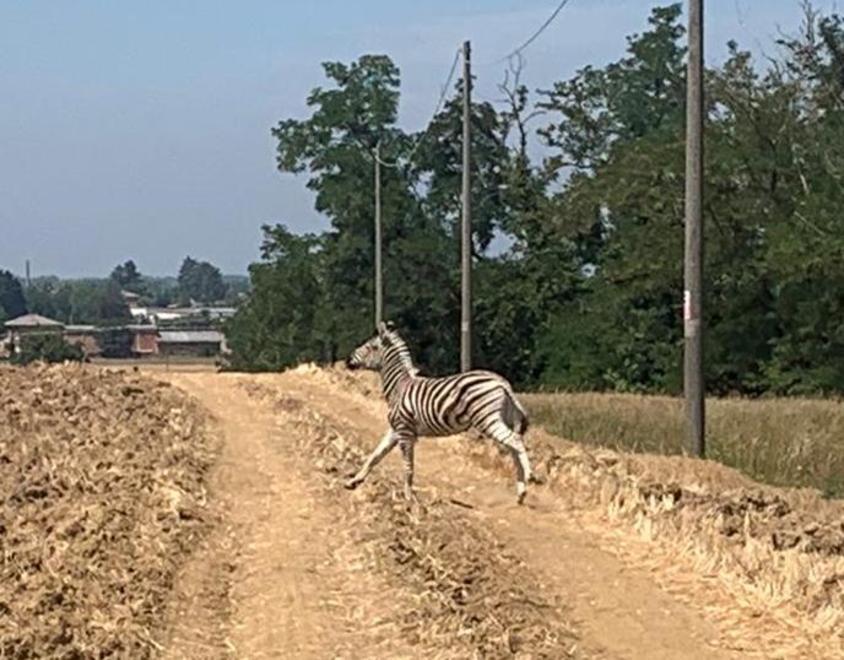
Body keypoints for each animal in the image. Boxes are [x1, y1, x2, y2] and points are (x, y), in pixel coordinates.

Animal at [344, 321, 534, 504]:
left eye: (370, 347)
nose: (347, 360)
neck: (399, 385)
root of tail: (502, 382)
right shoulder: (395, 429)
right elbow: (376, 455)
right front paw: (354, 481)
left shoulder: (405, 431)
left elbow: (408, 465)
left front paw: (408, 497)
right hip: (501, 418)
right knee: (513, 448)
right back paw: (521, 492)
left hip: (487, 419)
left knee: (515, 440)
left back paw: (530, 476)